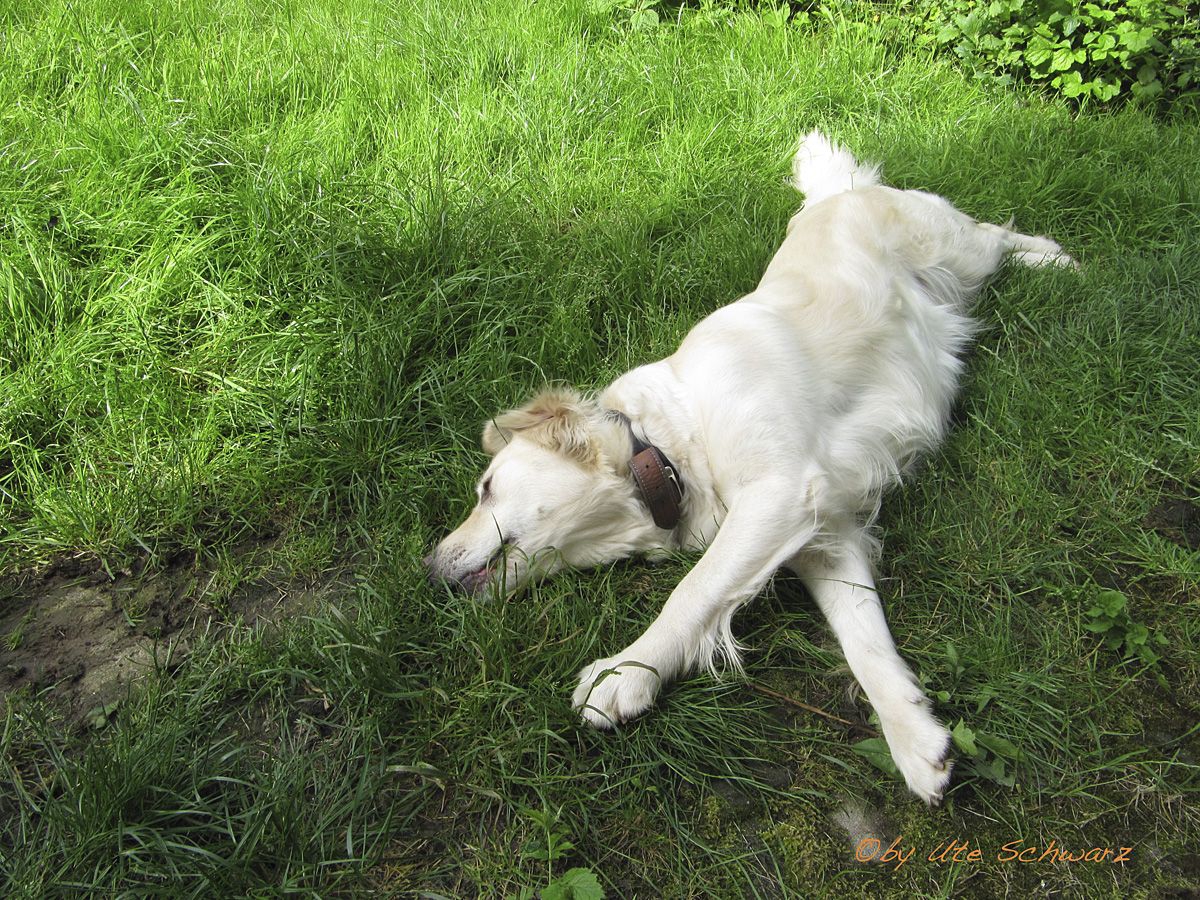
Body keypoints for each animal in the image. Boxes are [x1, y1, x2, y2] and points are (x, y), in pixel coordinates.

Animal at [427, 132, 1075, 801]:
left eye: (486, 488)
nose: (427, 569)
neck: (673, 441)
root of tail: (839, 193)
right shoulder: (823, 535)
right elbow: (864, 640)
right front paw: (915, 738)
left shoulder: (779, 492)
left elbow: (692, 590)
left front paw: (624, 673)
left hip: (954, 249)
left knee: (997, 232)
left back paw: (1057, 261)